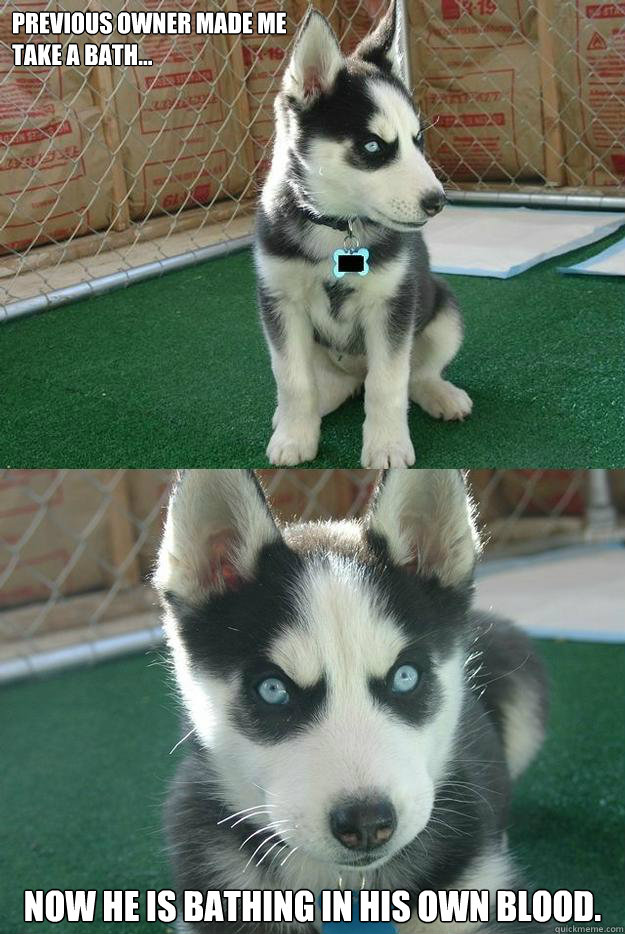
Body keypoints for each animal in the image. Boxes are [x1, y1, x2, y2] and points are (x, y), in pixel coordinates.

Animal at [256, 0, 470, 468]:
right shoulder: (280, 302)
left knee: (414, 374)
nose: (438, 201)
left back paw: (440, 394)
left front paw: (387, 445)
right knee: (327, 385)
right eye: (373, 146)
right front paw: (294, 437)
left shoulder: (392, 305)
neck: (338, 226)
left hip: (444, 311)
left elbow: (388, 383)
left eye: (417, 140)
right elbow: (292, 379)